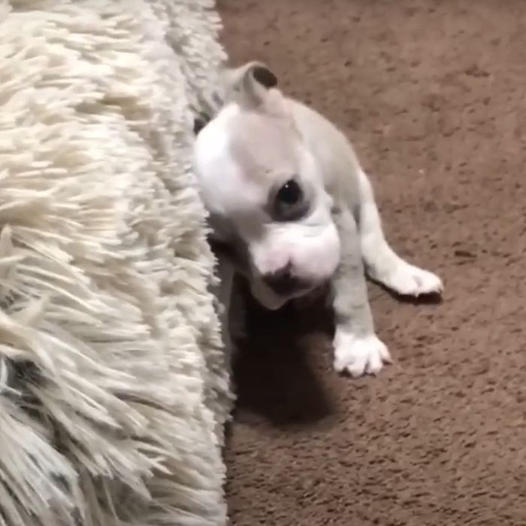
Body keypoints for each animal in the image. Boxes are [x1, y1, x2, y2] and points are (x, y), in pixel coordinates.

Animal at [194, 62, 446, 380]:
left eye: (289, 193)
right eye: (221, 248)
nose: (278, 276)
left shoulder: (341, 222)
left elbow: (350, 286)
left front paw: (358, 344)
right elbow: (218, 304)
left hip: (361, 187)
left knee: (373, 243)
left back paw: (405, 274)